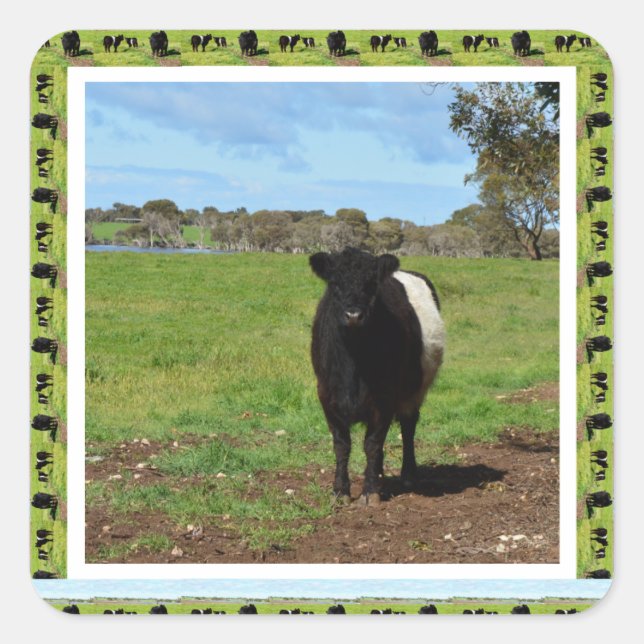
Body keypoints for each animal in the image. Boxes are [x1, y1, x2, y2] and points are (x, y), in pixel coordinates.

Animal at [309, 248, 444, 504]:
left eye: (371, 285)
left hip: (415, 390)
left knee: (408, 427)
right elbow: (342, 445)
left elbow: (372, 444)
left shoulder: (384, 397)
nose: (353, 315)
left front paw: (370, 491)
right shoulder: (326, 395)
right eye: (334, 283)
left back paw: (408, 475)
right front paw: (340, 491)